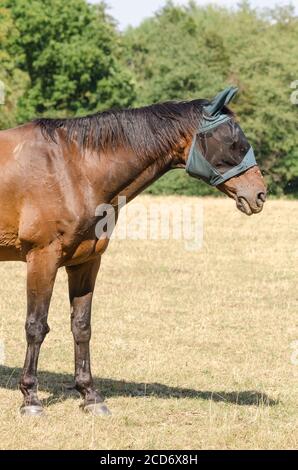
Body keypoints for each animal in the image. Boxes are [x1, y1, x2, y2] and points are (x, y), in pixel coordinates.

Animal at [0, 87, 266, 414]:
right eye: (234, 143)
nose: (259, 194)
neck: (72, 169)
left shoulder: (86, 262)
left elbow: (82, 326)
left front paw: (90, 396)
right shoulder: (42, 258)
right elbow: (36, 327)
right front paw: (31, 398)